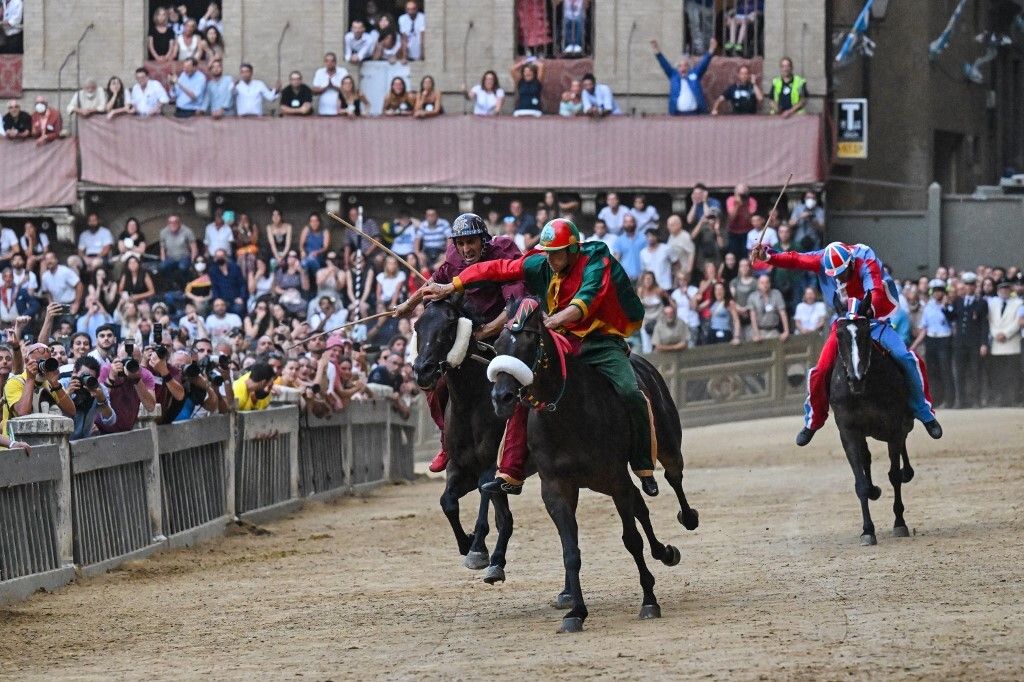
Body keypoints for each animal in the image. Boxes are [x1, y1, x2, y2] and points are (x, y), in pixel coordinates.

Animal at [411, 294, 524, 581]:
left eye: (450, 326)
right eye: (417, 325)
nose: (422, 370)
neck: (471, 401)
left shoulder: (490, 464)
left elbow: (487, 497)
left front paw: (477, 549)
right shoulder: (461, 467)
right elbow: (448, 502)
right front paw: (468, 542)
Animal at [485, 296, 696, 630]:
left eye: (531, 341)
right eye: (497, 344)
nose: (501, 397)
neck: (567, 412)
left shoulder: (615, 477)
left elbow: (631, 539)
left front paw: (649, 600)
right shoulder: (557, 487)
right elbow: (570, 551)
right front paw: (576, 612)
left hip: (664, 442)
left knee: (673, 478)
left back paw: (685, 519)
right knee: (640, 505)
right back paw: (663, 551)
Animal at [831, 294, 921, 544]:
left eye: (864, 333)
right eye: (839, 334)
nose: (856, 378)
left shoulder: (893, 427)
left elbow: (894, 475)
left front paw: (899, 523)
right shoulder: (848, 432)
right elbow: (861, 481)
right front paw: (867, 530)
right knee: (866, 458)